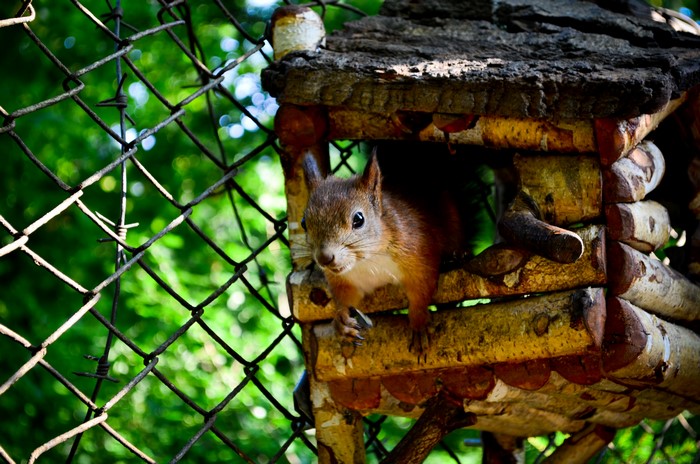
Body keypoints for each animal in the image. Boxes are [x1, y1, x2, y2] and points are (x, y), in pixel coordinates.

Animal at [300, 146, 465, 355]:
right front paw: (341, 321)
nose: (324, 258)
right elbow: (345, 299)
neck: (368, 260)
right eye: (303, 223)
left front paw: (419, 323)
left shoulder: (419, 255)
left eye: (359, 219)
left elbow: (421, 290)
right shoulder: (344, 281)